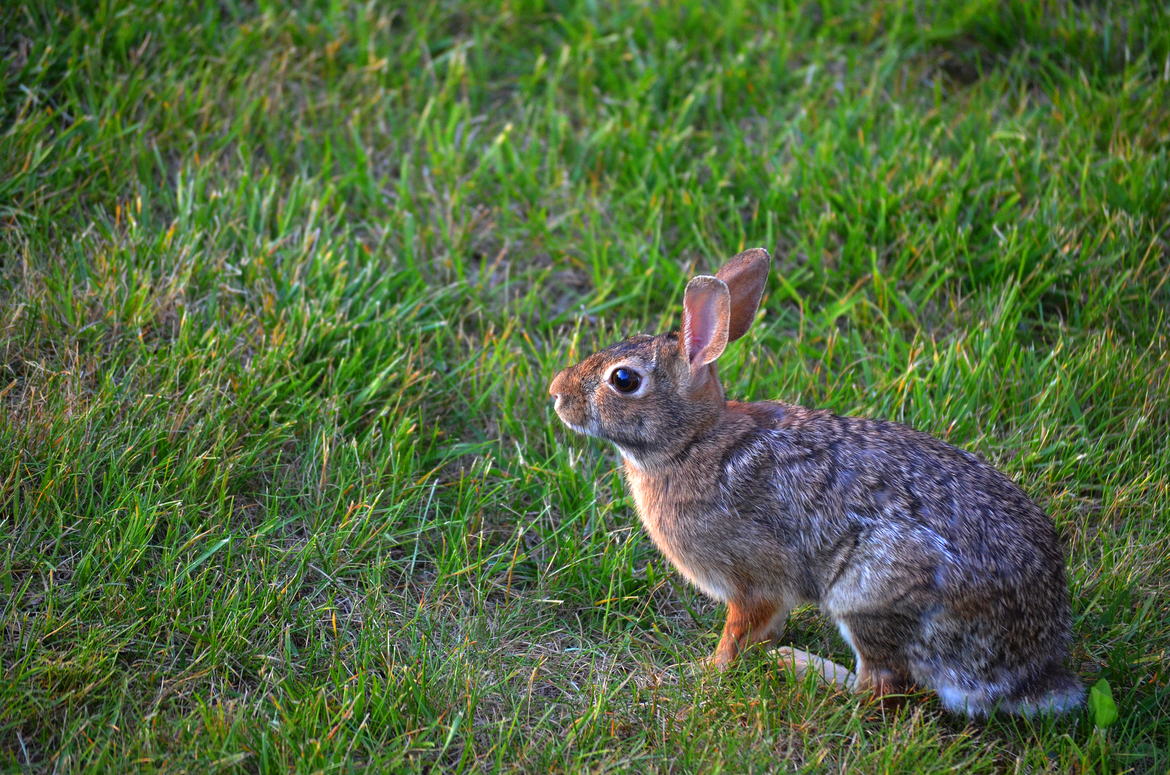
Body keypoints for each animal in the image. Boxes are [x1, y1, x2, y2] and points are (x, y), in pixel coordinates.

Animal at [547, 248, 1083, 717]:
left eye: (623, 380)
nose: (555, 393)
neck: (692, 441)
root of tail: (1030, 673)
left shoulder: (752, 579)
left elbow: (737, 638)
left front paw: (698, 673)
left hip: (870, 595)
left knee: (880, 690)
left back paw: (802, 667)